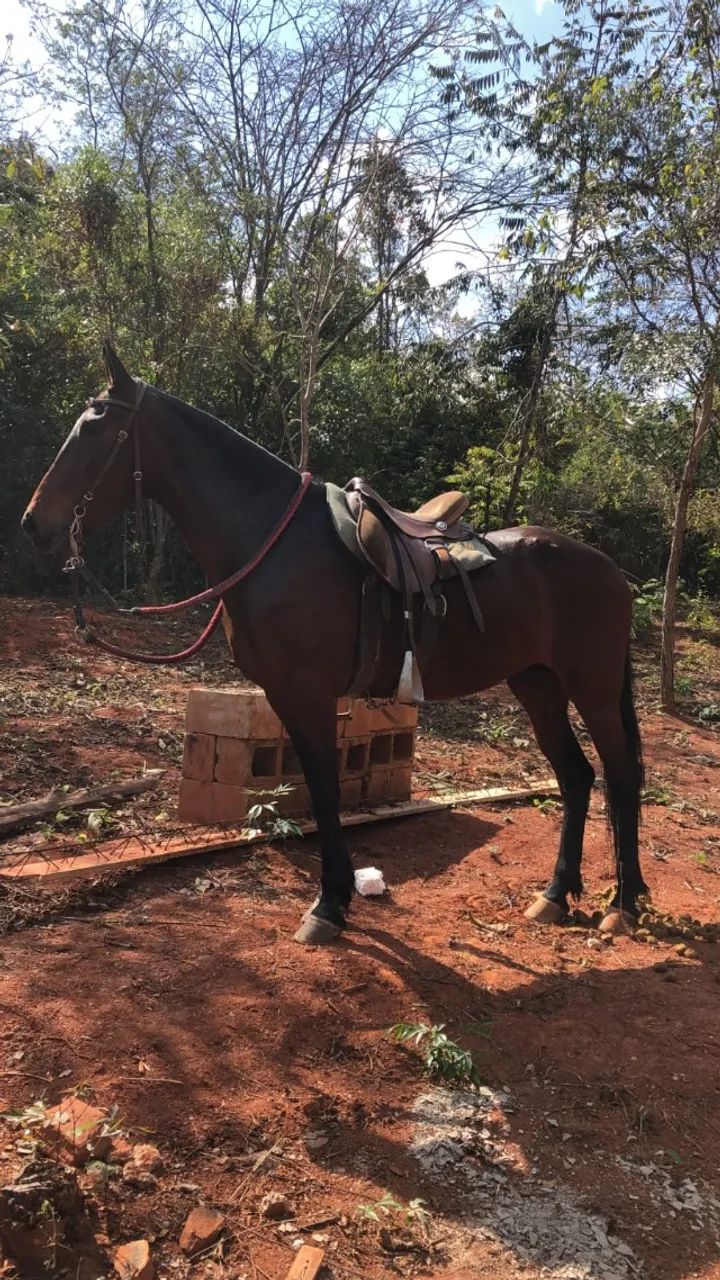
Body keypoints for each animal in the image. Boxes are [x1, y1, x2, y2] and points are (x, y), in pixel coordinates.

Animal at [22, 343, 647, 944]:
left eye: (94, 429)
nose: (32, 523)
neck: (273, 545)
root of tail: (612, 572)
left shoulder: (307, 693)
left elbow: (324, 793)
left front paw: (328, 905)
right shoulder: (285, 695)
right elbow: (320, 792)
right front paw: (339, 898)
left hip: (591, 688)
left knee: (620, 776)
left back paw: (624, 904)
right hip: (537, 684)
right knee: (576, 777)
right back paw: (556, 895)